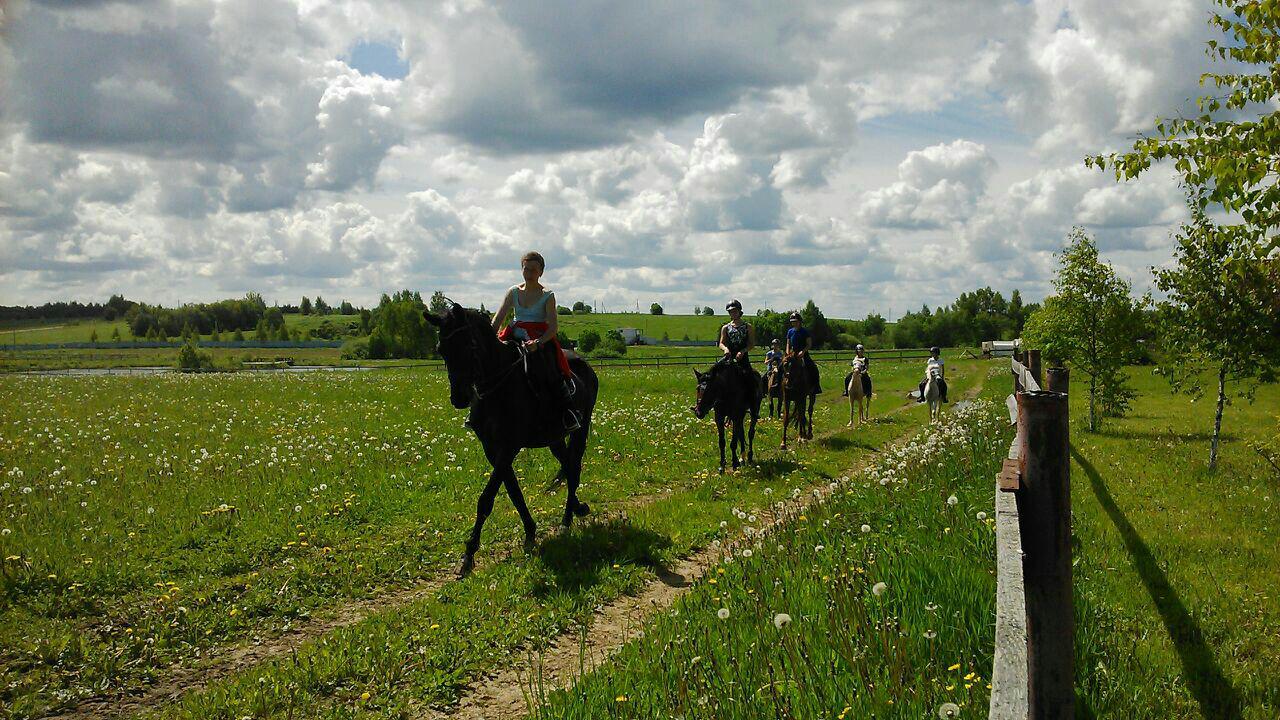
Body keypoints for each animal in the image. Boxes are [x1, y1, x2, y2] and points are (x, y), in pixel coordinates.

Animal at [422, 302, 596, 576]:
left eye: (470, 345)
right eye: (441, 349)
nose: (459, 398)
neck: (498, 386)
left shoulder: (509, 447)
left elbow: (486, 499)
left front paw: (469, 554)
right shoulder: (492, 449)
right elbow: (513, 491)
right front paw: (530, 533)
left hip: (580, 429)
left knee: (574, 470)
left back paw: (566, 521)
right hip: (555, 438)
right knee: (568, 468)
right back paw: (577, 510)